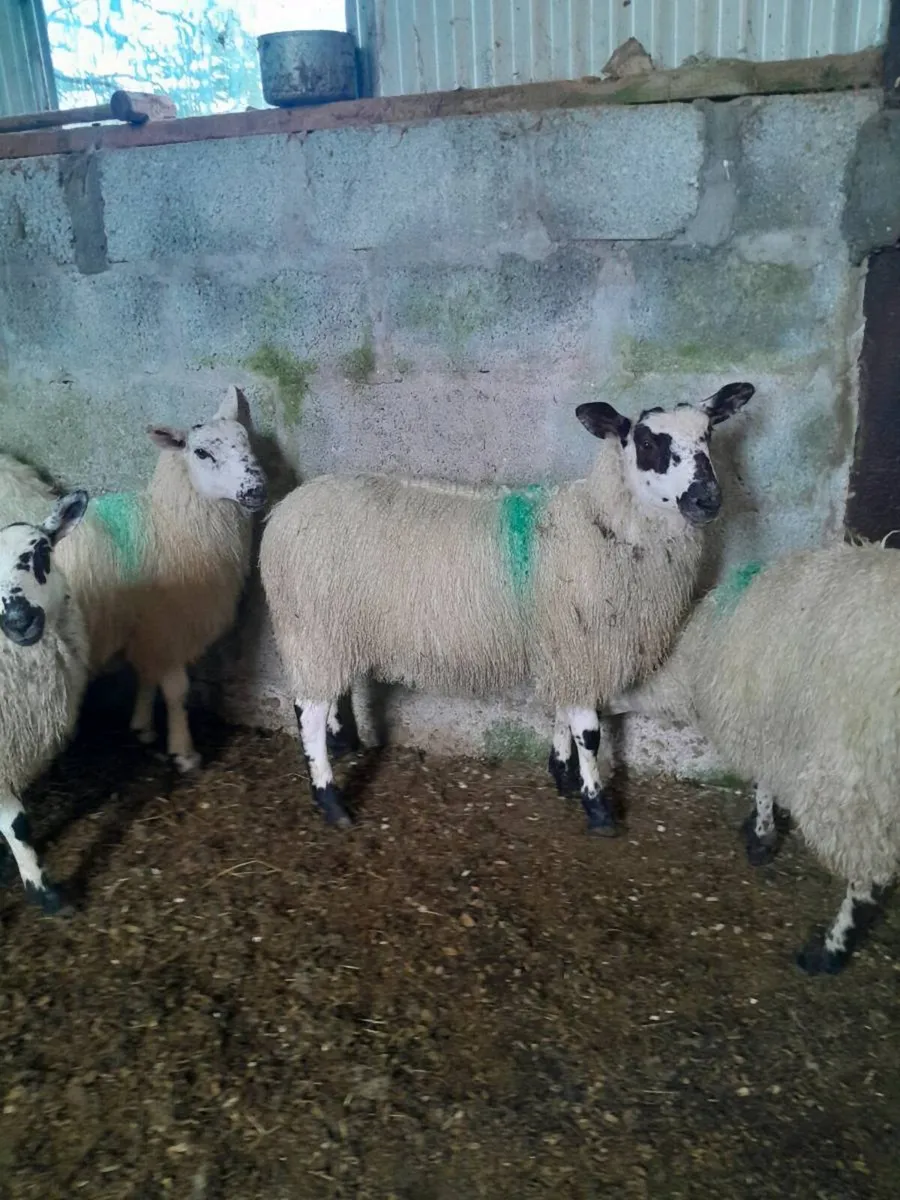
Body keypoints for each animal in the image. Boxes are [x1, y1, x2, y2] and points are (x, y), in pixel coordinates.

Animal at [1, 387, 267, 772]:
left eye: (247, 442)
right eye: (202, 452)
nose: (256, 489)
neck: (170, 524)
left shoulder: (147, 627)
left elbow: (146, 674)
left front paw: (142, 726)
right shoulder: (168, 626)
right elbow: (176, 690)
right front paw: (184, 751)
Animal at [260, 382, 755, 832]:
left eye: (708, 433)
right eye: (649, 442)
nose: (707, 499)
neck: (604, 523)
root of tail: (286, 509)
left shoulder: (566, 645)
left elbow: (563, 712)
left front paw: (563, 774)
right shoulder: (580, 643)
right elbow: (589, 732)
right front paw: (597, 807)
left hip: (335, 629)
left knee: (333, 689)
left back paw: (345, 743)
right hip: (310, 627)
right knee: (308, 710)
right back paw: (331, 799)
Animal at [609, 542, 900, 974]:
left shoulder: (763, 717)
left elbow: (764, 781)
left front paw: (761, 835)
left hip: (862, 782)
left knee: (864, 881)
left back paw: (829, 950)